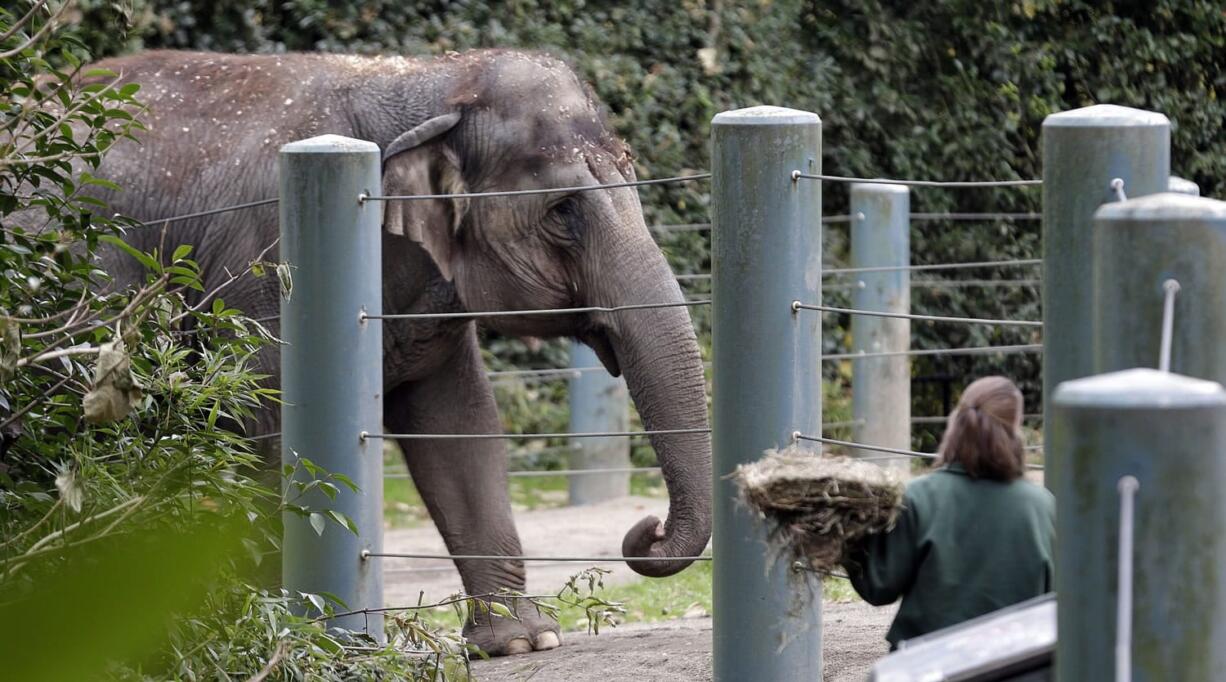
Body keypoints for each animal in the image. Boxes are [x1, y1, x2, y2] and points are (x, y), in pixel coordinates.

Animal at [83, 49, 711, 657]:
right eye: (563, 210)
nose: (647, 531)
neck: (434, 80)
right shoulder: (266, 276)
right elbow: (266, 435)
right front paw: (278, 638)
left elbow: (460, 427)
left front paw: (523, 641)